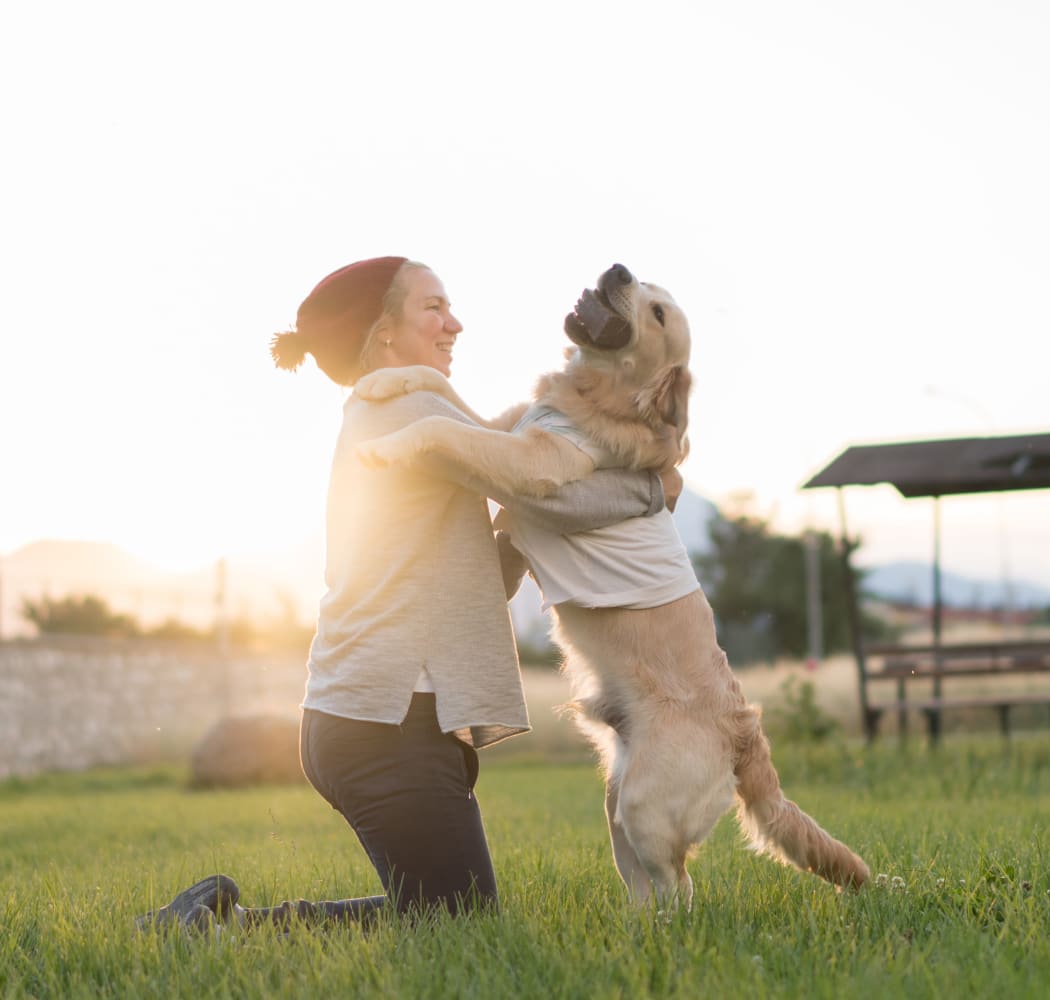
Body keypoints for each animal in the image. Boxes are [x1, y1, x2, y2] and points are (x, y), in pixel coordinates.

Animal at [356, 263, 865, 907]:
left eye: (658, 315)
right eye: (644, 283)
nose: (617, 269)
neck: (594, 395)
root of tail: (743, 732)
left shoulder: (534, 463)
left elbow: (442, 432)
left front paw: (383, 448)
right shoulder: (511, 427)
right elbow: (444, 395)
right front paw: (384, 382)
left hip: (646, 804)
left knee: (679, 885)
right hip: (615, 799)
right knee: (651, 887)